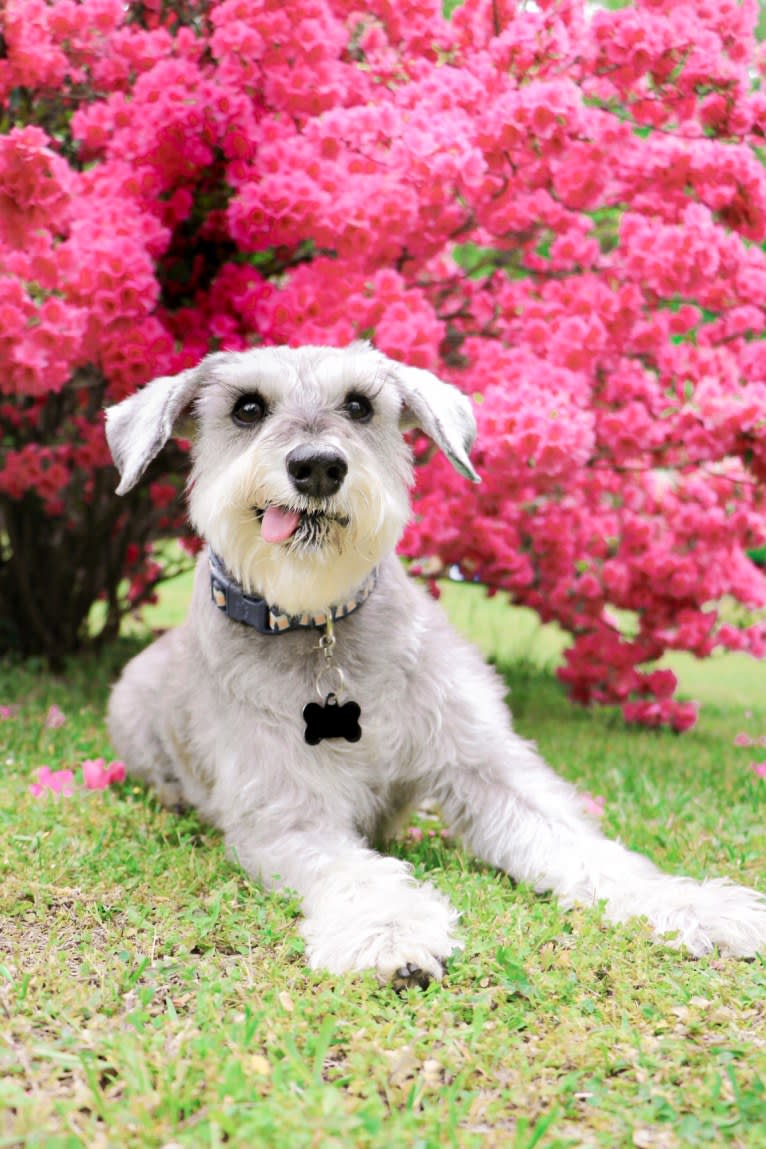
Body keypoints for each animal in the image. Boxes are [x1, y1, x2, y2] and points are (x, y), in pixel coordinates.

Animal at [106, 340, 766, 978]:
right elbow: (355, 871)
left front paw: (695, 905)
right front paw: (389, 931)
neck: (322, 628)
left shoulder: (484, 763)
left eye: (359, 406)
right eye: (247, 408)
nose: (318, 466)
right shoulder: (287, 810)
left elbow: (581, 847)